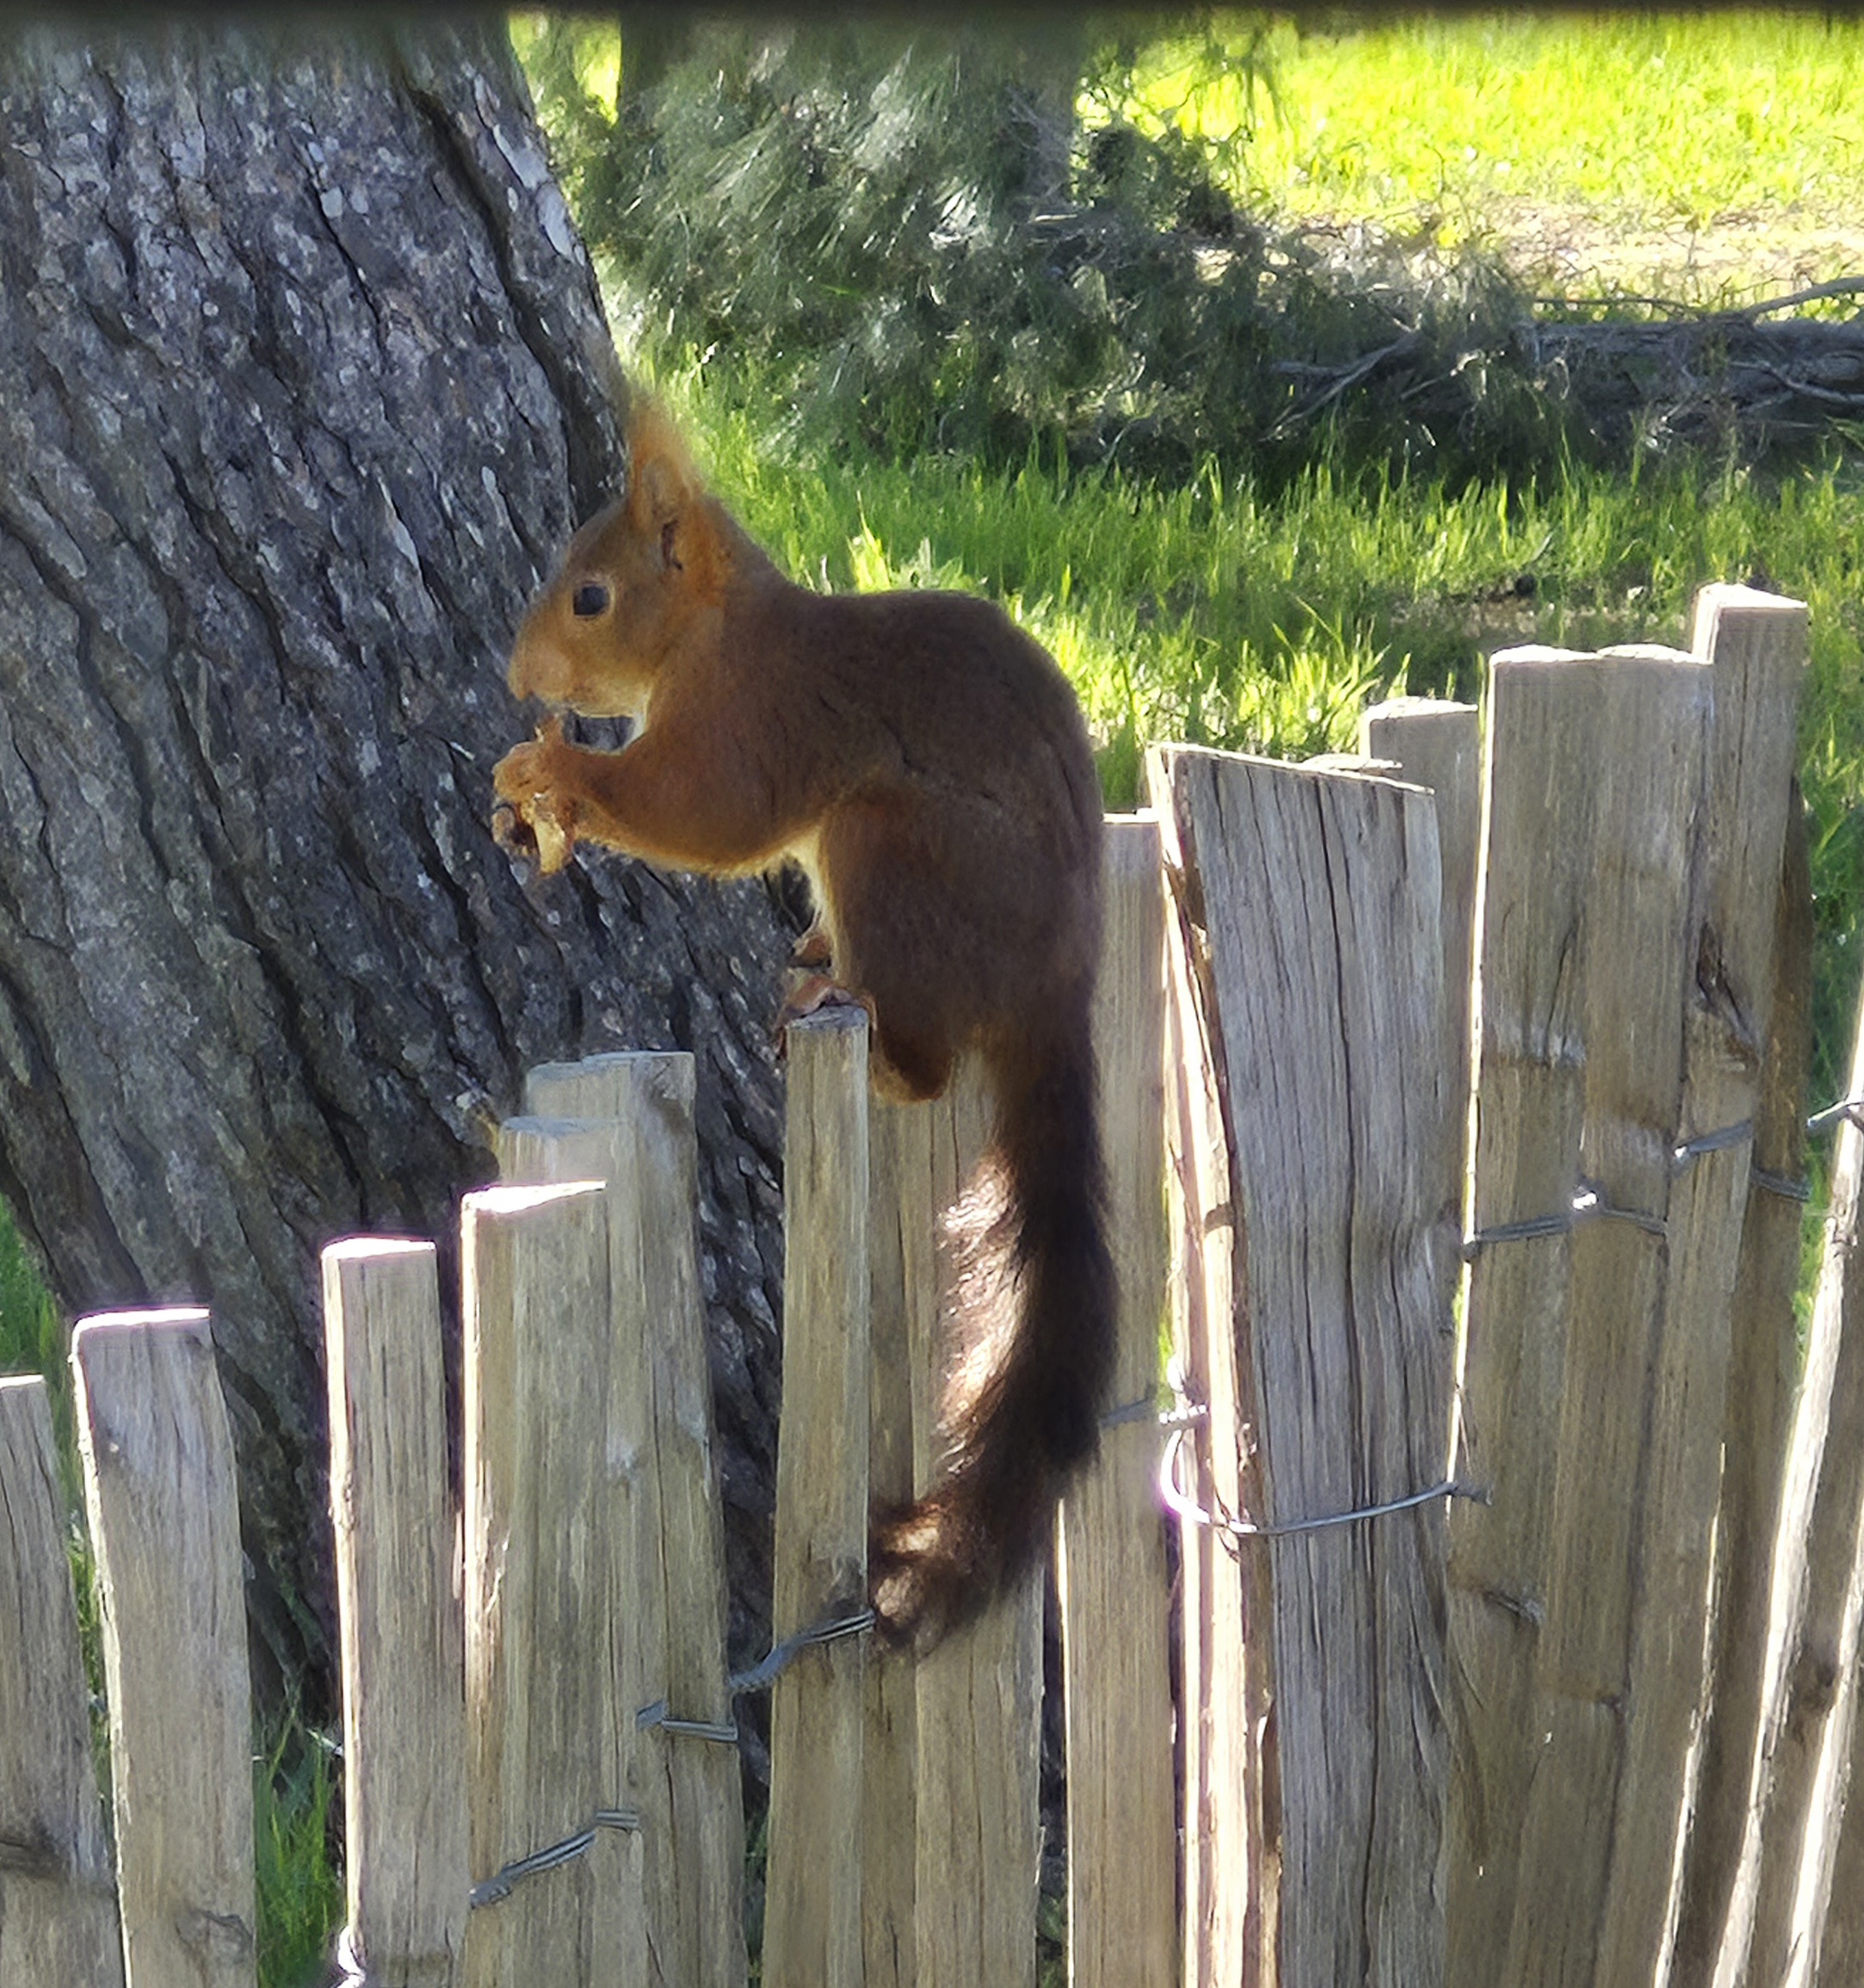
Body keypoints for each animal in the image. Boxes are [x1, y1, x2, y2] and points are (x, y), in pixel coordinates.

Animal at [492, 401, 1115, 1645]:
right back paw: (818, 960)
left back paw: (856, 1016)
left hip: (889, 843)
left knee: (928, 1060)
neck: (714, 628)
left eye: (591, 597)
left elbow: (708, 811)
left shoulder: (755, 718)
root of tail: (1059, 981)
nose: (516, 674)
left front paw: (555, 770)